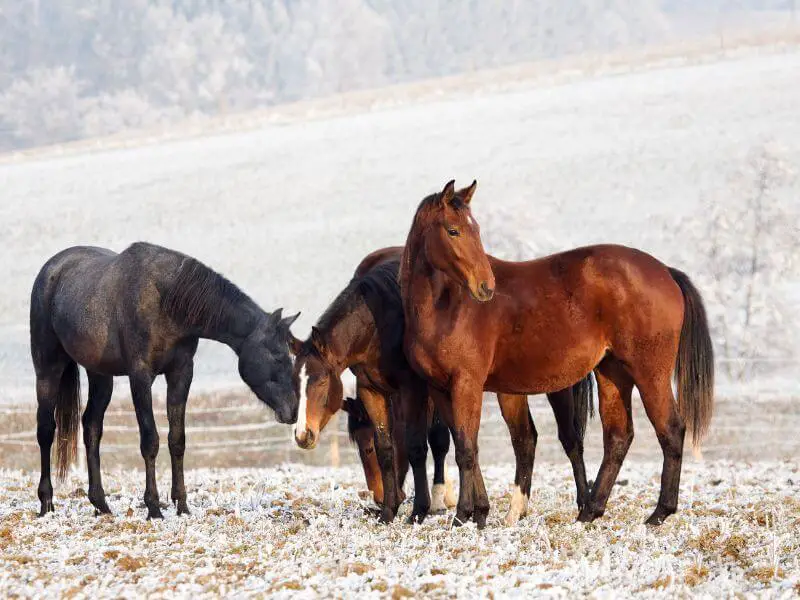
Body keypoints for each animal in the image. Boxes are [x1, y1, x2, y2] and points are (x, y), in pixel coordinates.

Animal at [29, 241, 300, 516]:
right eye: (277, 356)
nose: (292, 410)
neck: (166, 302)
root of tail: (51, 269)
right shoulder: (140, 377)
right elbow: (150, 441)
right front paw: (154, 508)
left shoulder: (181, 373)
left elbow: (177, 439)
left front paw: (182, 505)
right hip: (48, 370)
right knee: (46, 430)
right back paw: (46, 503)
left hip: (101, 377)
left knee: (92, 427)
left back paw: (101, 504)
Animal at [290, 246, 592, 524]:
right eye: (296, 382)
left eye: (320, 381)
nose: (303, 435)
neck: (379, 321)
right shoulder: (371, 390)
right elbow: (392, 446)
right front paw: (390, 510)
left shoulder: (415, 389)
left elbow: (422, 444)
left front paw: (424, 507)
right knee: (524, 439)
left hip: (554, 388)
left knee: (564, 439)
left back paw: (582, 505)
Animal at [404, 180, 716, 528]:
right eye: (453, 230)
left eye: (476, 229)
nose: (486, 287)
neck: (445, 308)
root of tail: (666, 271)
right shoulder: (440, 389)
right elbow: (464, 444)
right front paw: (478, 512)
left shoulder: (467, 385)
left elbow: (467, 449)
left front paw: (464, 516)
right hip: (612, 373)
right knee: (618, 437)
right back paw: (590, 511)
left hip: (650, 374)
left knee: (671, 429)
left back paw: (659, 513)